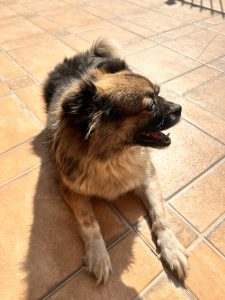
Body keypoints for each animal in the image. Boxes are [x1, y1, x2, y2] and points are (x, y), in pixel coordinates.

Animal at [43, 39, 187, 284]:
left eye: (159, 93)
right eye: (150, 107)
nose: (179, 109)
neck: (112, 156)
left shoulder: (147, 176)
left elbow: (160, 215)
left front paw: (172, 248)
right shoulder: (72, 189)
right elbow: (90, 223)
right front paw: (98, 256)